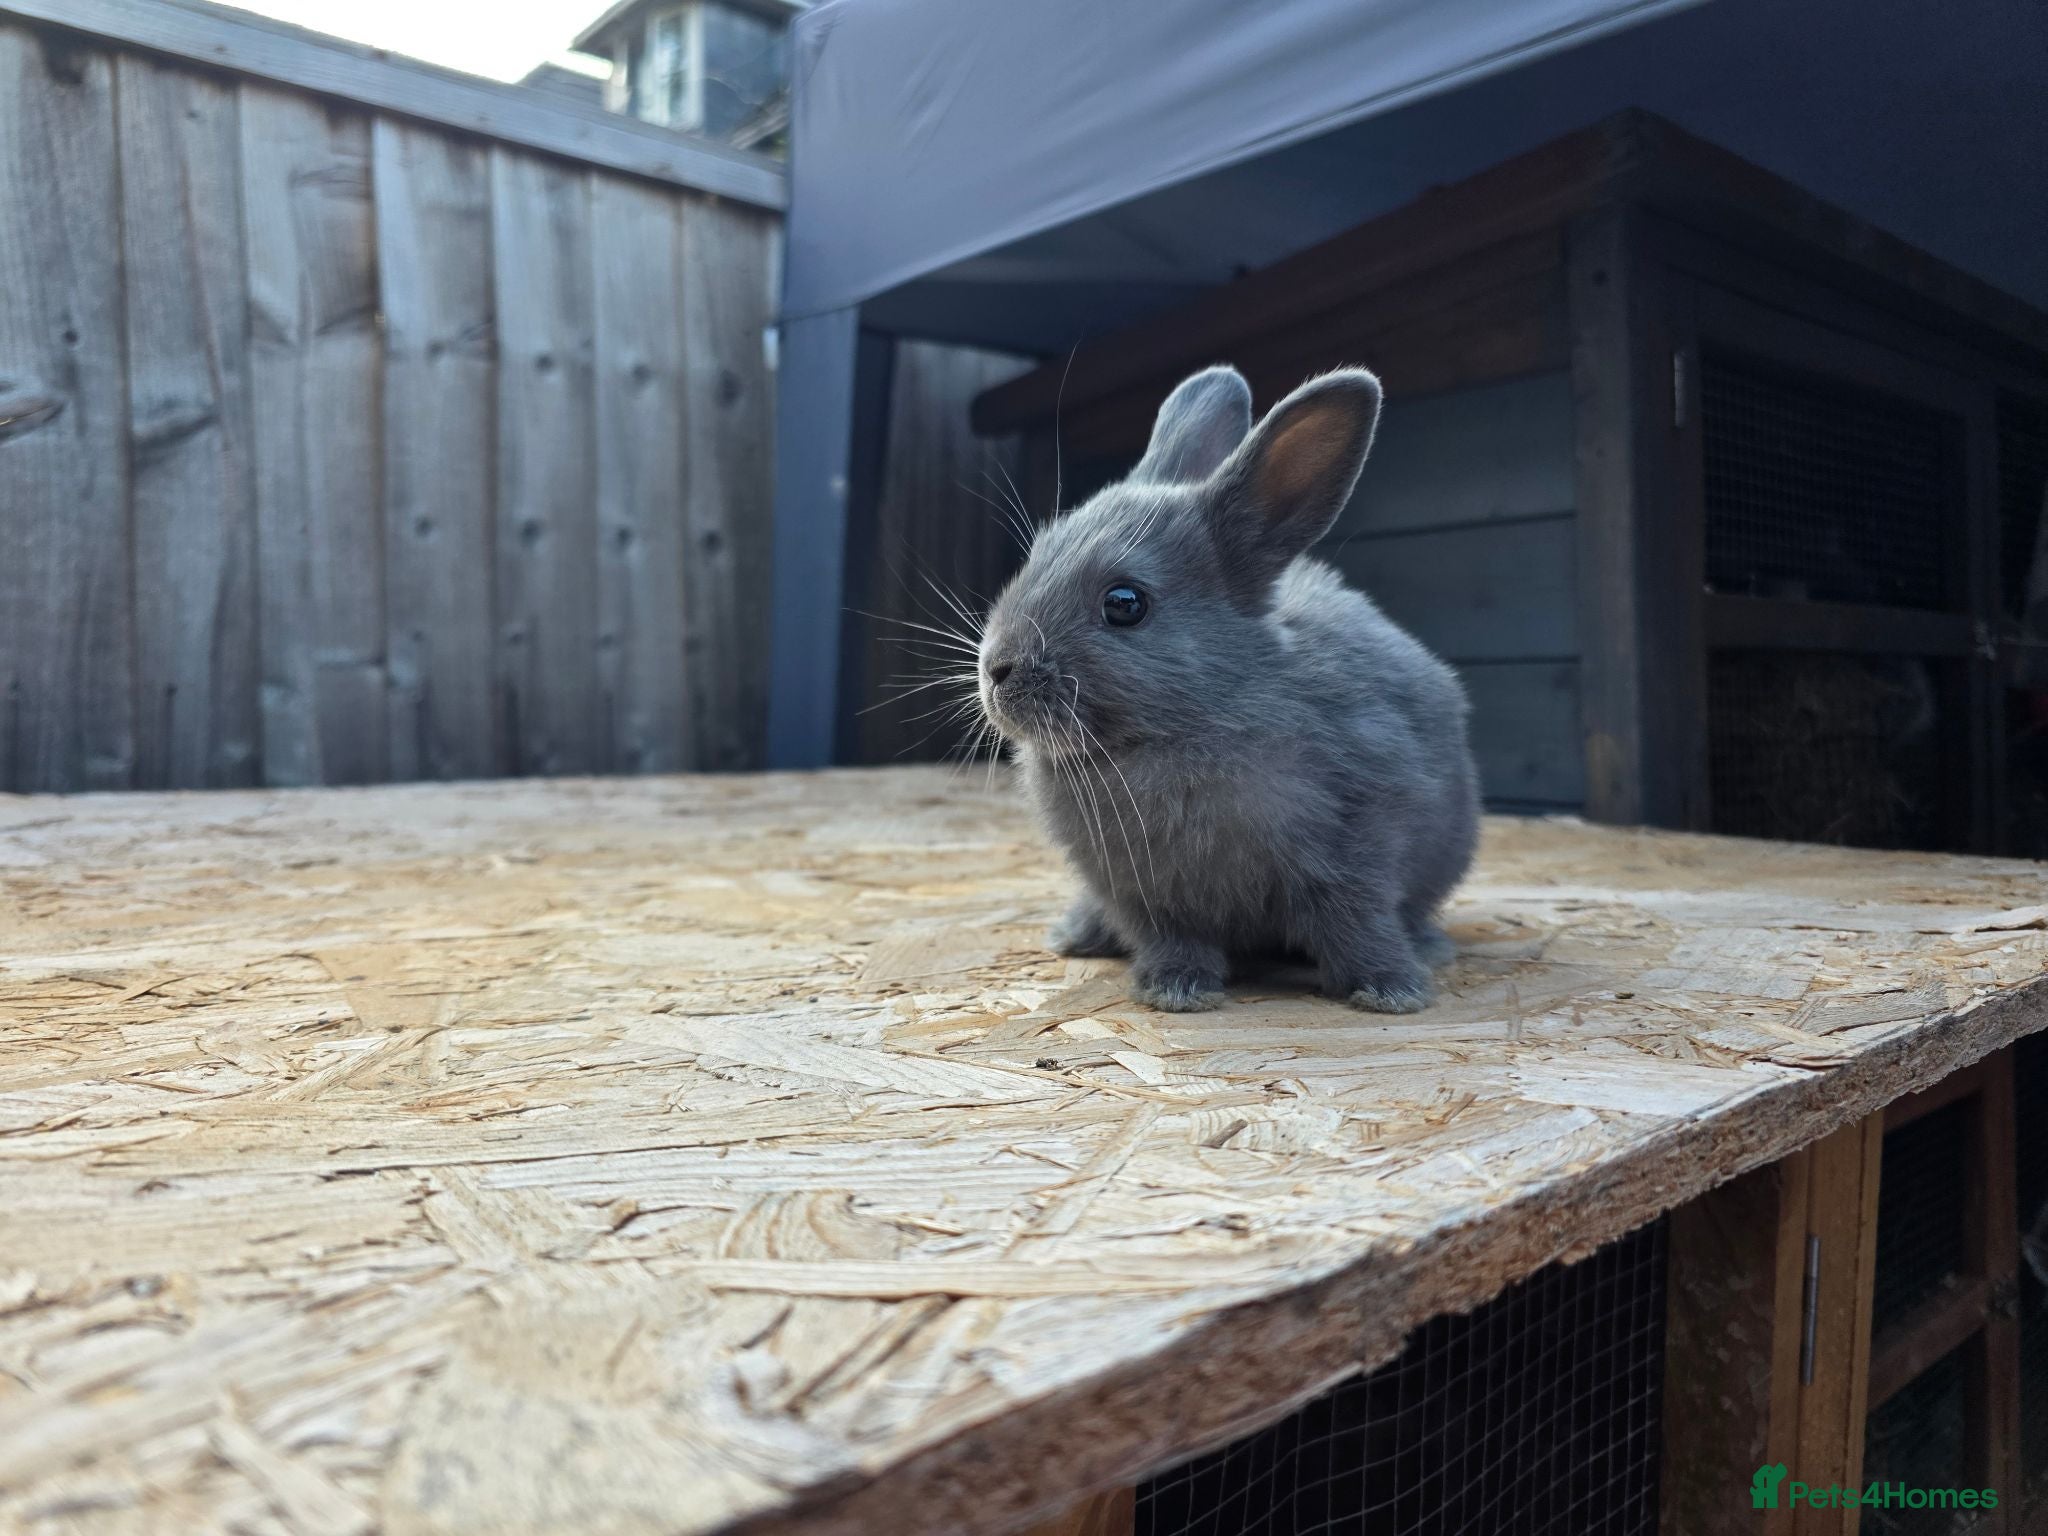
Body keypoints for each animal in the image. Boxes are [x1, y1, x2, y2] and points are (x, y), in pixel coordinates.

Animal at [975, 364, 1479, 1014]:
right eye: (1036, 556)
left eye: (1125, 603)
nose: (996, 668)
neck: (1190, 723)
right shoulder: (1143, 896)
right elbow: (1172, 940)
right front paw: (1177, 990)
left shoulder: (1356, 854)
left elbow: (1357, 925)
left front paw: (1393, 990)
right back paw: (1076, 936)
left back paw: (1430, 948)